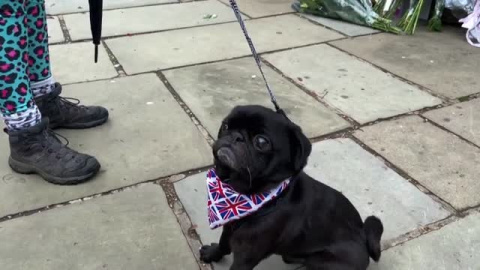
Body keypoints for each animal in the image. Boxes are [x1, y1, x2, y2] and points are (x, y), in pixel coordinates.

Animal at [201, 105, 384, 270]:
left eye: (261, 142)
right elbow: (223, 245)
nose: (236, 136)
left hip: (322, 261)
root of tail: (363, 238)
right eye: (225, 126)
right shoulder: (229, 228)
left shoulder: (246, 257)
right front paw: (212, 254)